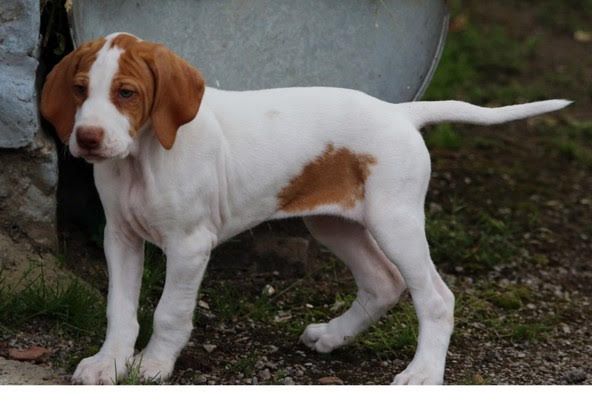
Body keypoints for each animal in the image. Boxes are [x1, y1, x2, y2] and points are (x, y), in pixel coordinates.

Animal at [40, 33, 568, 386]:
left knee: (436, 298)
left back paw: (421, 375)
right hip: (333, 223)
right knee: (383, 282)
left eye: (126, 93)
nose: (87, 138)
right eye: (80, 90)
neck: (143, 159)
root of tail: (400, 113)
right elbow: (120, 309)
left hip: (394, 221)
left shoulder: (189, 246)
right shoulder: (120, 237)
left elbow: (170, 312)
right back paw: (332, 337)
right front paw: (108, 363)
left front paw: (152, 365)